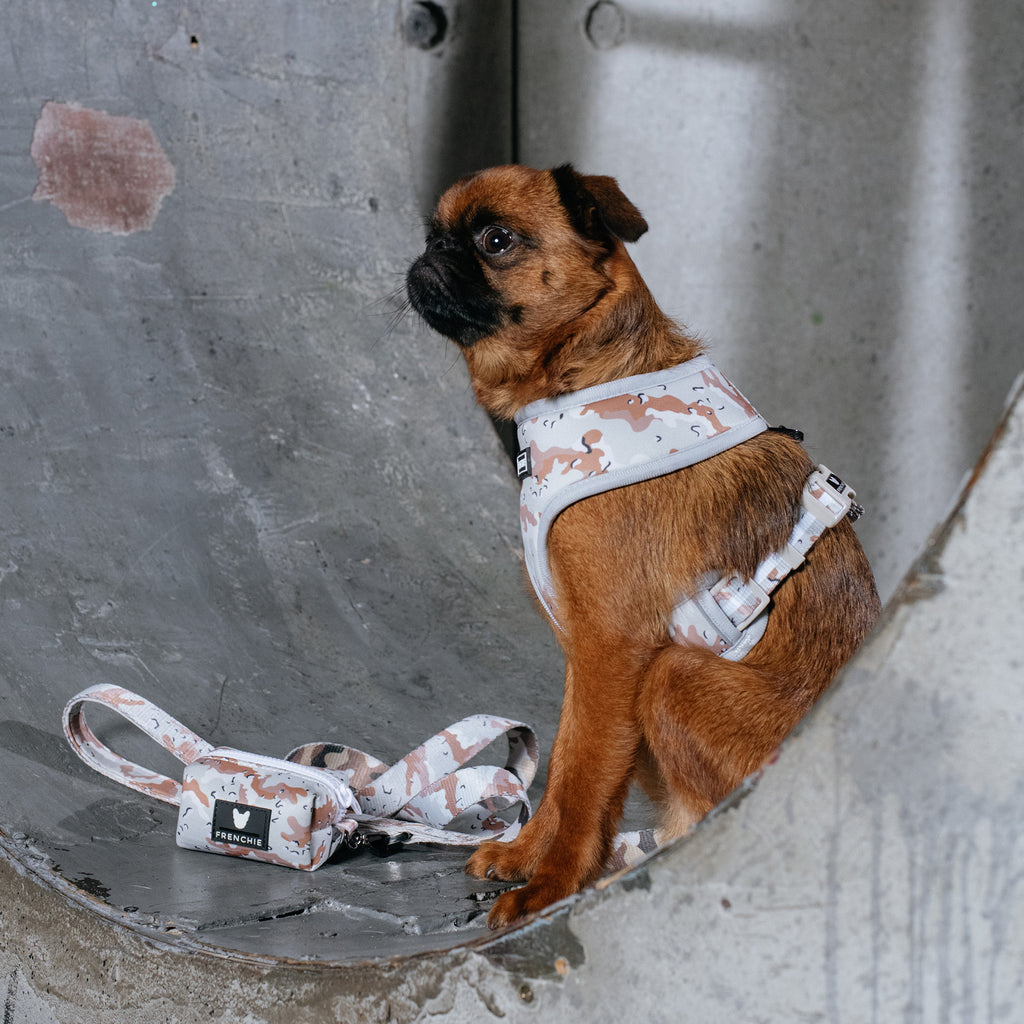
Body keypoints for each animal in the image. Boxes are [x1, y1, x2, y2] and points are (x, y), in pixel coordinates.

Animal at [405, 164, 881, 928]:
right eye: (434, 232)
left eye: (495, 240)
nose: (429, 254)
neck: (583, 375)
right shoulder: (587, 659)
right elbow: (568, 762)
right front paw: (527, 855)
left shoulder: (615, 652)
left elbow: (584, 782)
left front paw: (552, 885)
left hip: (673, 675)